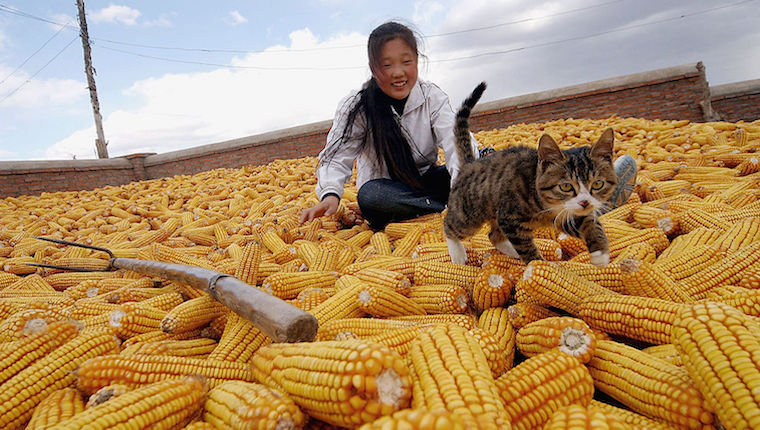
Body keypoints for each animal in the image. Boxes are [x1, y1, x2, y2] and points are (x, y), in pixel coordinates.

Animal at [446, 82, 616, 268]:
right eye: (565, 186)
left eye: (598, 184)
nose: (585, 202)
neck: (546, 204)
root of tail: (470, 164)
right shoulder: (509, 218)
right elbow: (526, 248)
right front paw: (537, 265)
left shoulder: (565, 213)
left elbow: (589, 223)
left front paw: (600, 252)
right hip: (469, 214)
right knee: (450, 226)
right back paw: (457, 253)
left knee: (493, 235)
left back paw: (511, 252)